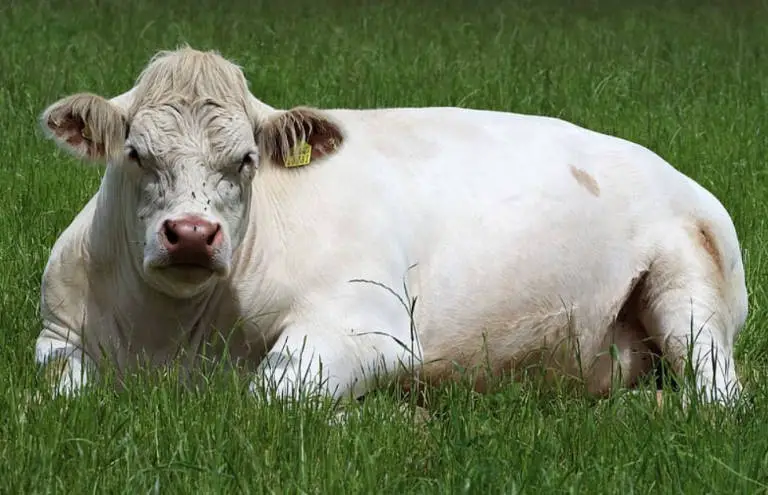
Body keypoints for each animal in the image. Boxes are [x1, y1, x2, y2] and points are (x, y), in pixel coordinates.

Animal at [35, 46, 748, 407]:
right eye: (135, 154)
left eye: (245, 161)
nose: (189, 235)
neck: (175, 334)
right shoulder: (56, 333)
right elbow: (54, 399)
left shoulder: (367, 326)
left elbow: (270, 396)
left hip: (691, 287)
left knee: (719, 395)